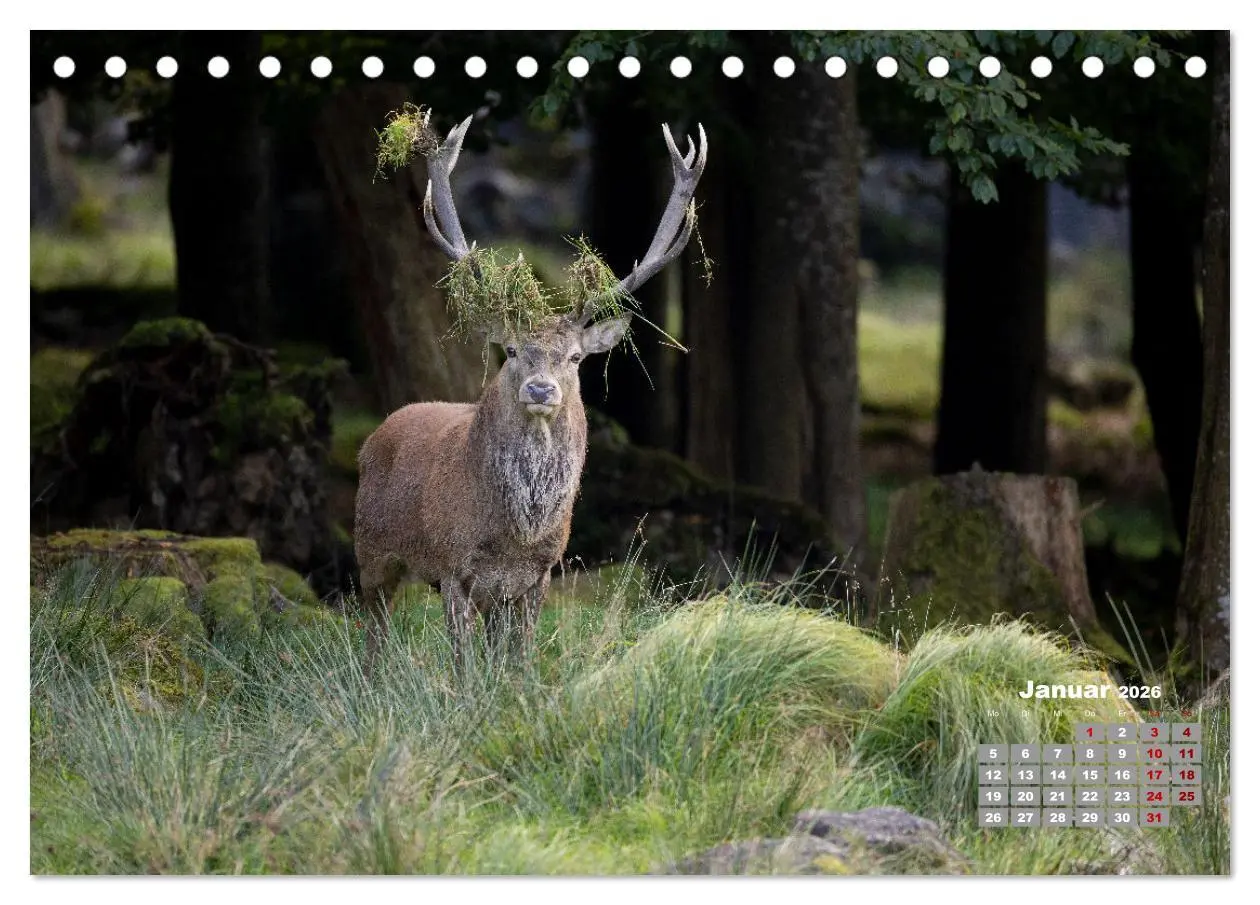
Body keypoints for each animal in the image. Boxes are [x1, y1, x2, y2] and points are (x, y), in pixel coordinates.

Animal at [354, 112, 707, 677]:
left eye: (576, 357)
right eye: (513, 350)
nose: (540, 389)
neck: (513, 536)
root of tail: (375, 435)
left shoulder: (538, 575)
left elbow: (518, 661)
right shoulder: (453, 568)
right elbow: (464, 668)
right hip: (371, 551)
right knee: (375, 632)